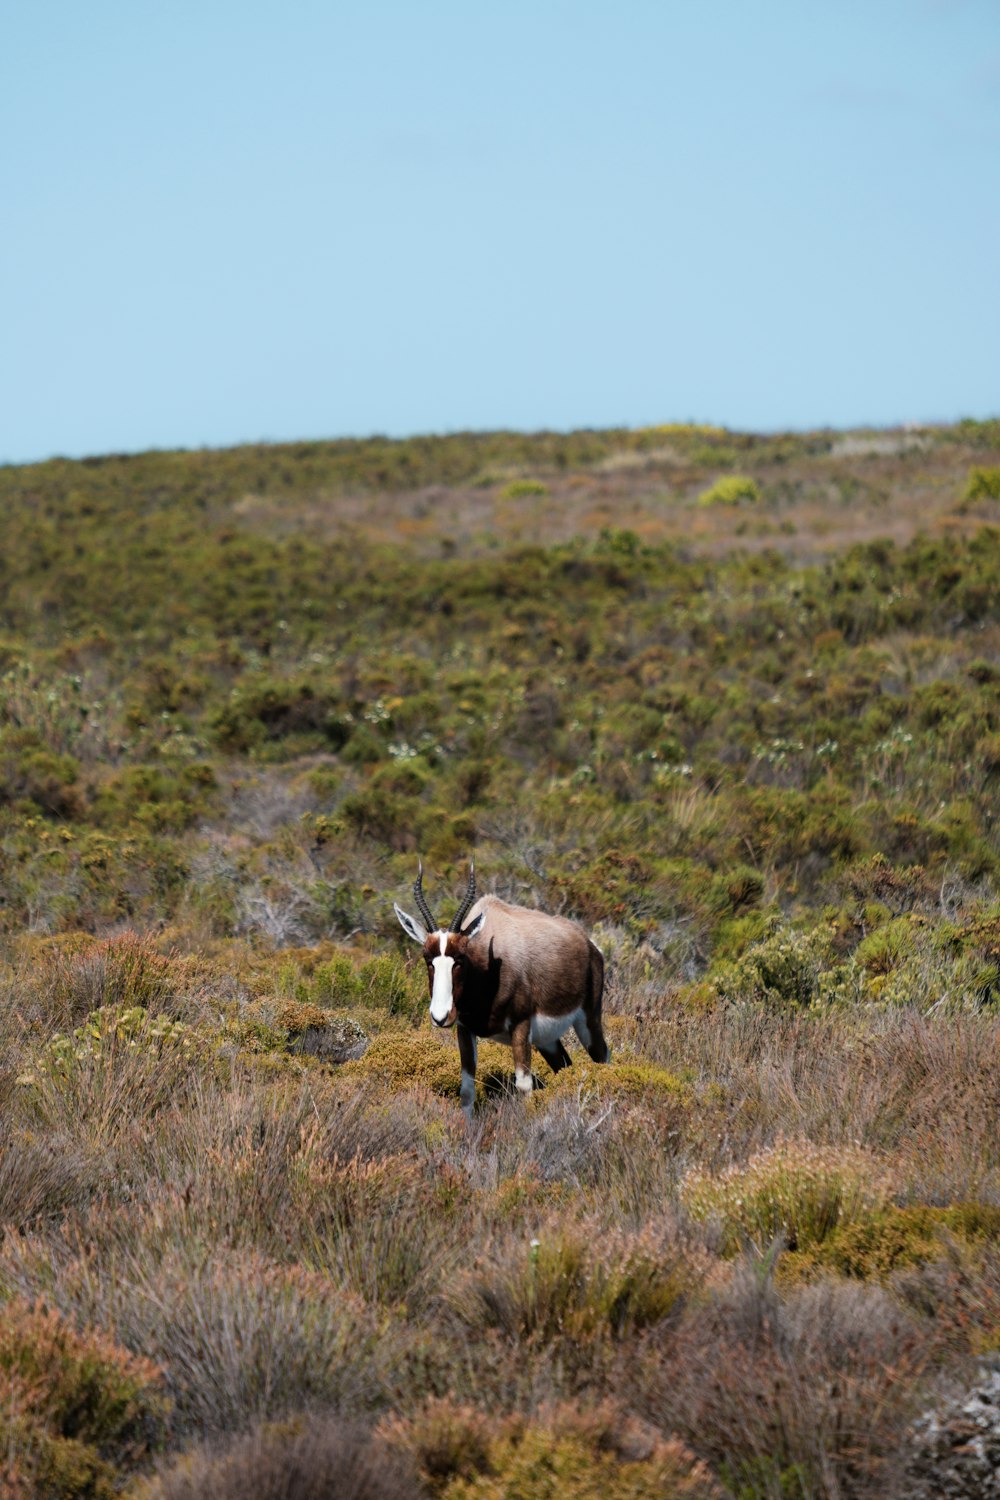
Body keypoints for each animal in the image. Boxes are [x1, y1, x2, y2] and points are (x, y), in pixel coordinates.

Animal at [392, 864, 611, 1122]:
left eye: (459, 959)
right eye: (428, 960)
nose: (441, 1016)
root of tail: (589, 945)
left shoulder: (521, 1025)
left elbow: (524, 1085)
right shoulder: (464, 1029)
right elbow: (467, 1089)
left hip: (588, 1021)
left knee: (602, 1056)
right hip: (547, 1040)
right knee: (564, 1065)